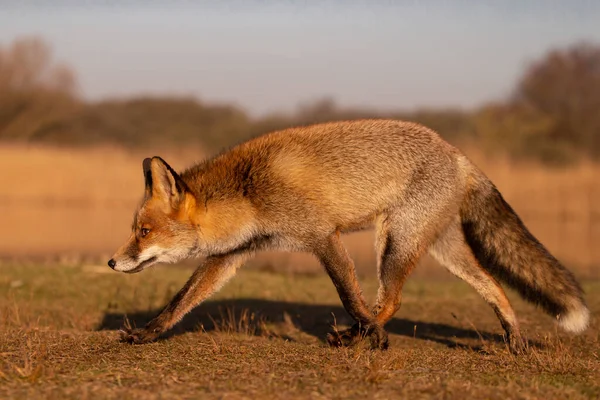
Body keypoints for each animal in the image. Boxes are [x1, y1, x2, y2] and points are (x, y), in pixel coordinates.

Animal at [109, 119, 592, 354]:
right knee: (494, 287)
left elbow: (348, 295)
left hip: (395, 242)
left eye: (143, 231)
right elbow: (180, 302)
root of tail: (459, 154)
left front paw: (369, 335)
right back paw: (514, 340)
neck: (249, 191)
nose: (113, 262)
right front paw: (147, 335)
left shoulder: (323, 236)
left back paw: (362, 337)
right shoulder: (234, 254)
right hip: (440, 248)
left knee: (391, 301)